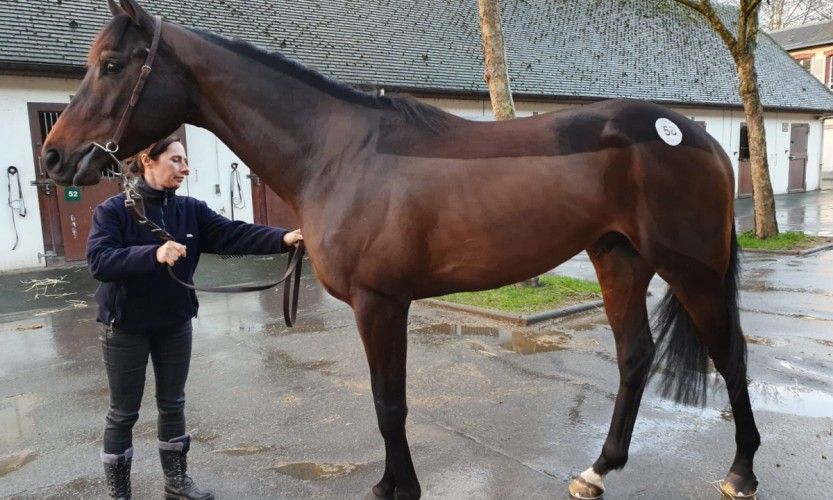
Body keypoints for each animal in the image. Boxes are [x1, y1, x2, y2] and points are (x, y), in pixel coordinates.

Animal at [40, 1, 760, 498]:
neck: (336, 154)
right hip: (618, 258)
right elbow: (384, 400)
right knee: (635, 357)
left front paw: (398, 487)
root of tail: (697, 134)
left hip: (691, 269)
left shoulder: (380, 302)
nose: (54, 158)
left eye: (111, 66)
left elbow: (390, 404)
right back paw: (597, 470)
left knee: (730, 355)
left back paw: (741, 472)